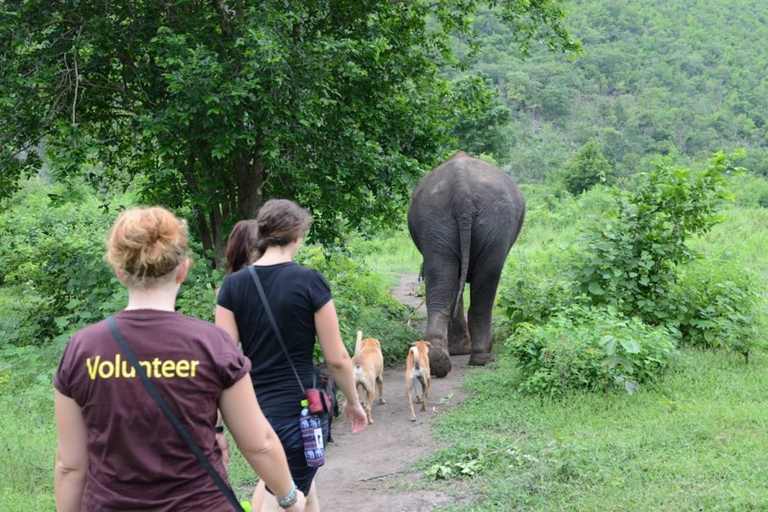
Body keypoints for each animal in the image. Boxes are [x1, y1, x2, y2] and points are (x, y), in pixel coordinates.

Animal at [404, 150, 524, 378]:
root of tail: (462, 193)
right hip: (488, 223)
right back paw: (482, 358)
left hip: (438, 220)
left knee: (443, 280)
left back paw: (438, 361)